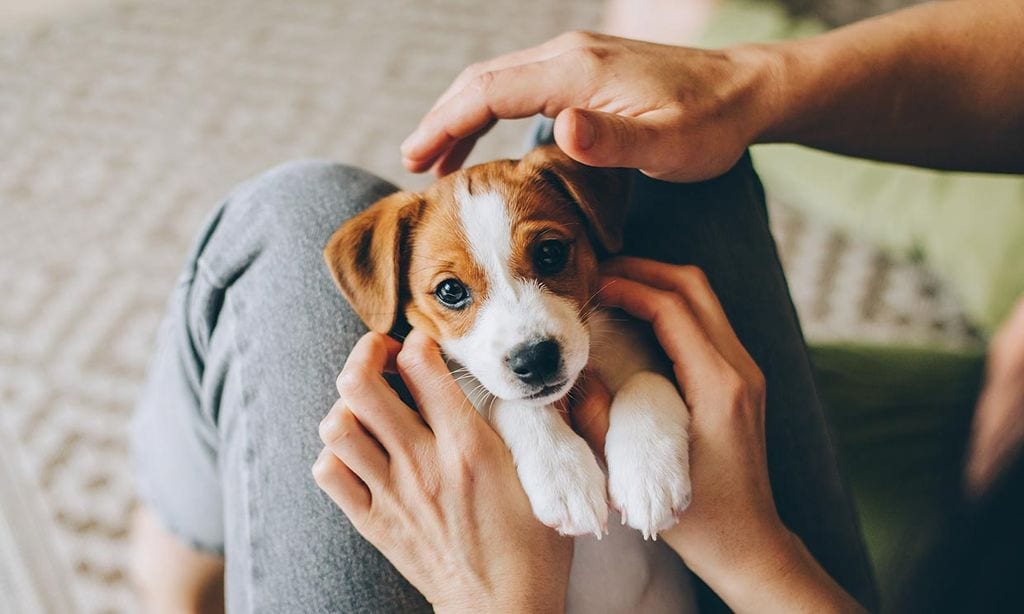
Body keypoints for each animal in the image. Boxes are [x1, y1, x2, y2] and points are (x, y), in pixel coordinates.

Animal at [325, 146, 696, 609]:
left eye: (551, 253)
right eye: (450, 290)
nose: (535, 359)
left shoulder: (649, 355)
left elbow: (647, 380)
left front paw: (648, 474)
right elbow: (508, 403)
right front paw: (562, 473)